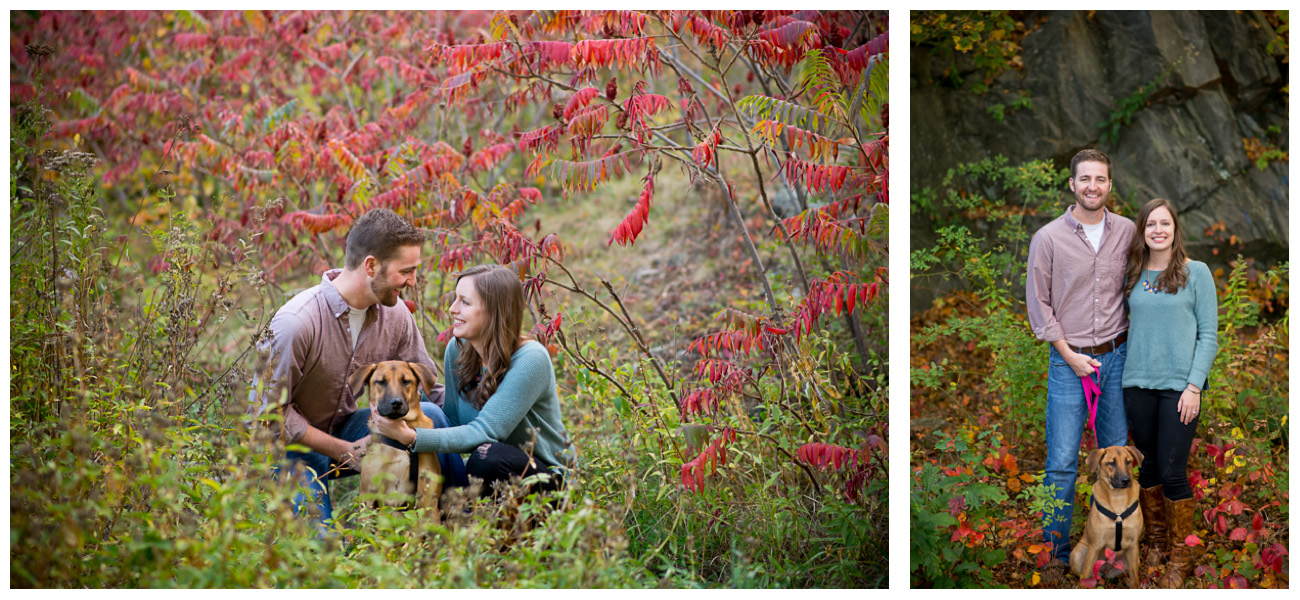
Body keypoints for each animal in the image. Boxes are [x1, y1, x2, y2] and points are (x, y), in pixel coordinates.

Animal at [348, 361, 444, 519]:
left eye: (406, 381)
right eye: (381, 381)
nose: (396, 403)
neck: (399, 444)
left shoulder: (428, 501)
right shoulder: (368, 499)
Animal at [1071, 444, 1144, 587]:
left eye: (1128, 461)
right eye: (1111, 463)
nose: (1126, 480)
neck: (1118, 499)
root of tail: (1104, 569)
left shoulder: (1133, 545)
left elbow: (1135, 578)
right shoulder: (1094, 545)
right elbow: (1085, 574)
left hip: (1132, 559)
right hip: (1078, 553)